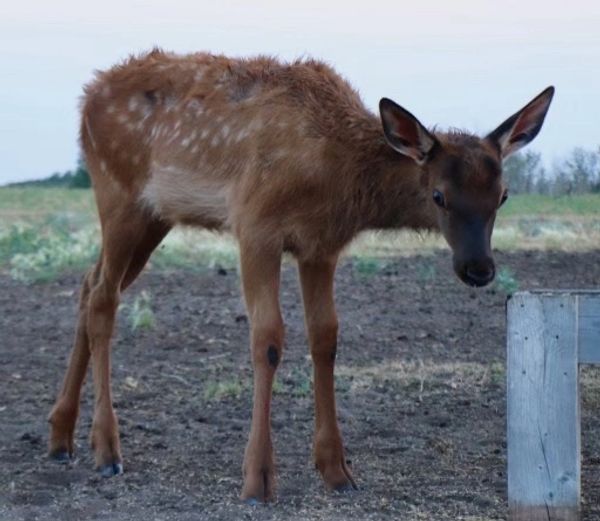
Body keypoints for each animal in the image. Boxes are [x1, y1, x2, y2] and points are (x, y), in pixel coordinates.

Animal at [47, 47, 552, 500]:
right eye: (439, 196)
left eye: (503, 196)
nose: (479, 268)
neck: (336, 176)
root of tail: (85, 99)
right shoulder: (254, 224)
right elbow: (268, 339)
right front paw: (257, 480)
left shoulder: (320, 248)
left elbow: (325, 338)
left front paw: (337, 470)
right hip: (118, 195)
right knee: (103, 298)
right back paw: (106, 449)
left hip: (155, 217)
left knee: (89, 285)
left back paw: (60, 437)